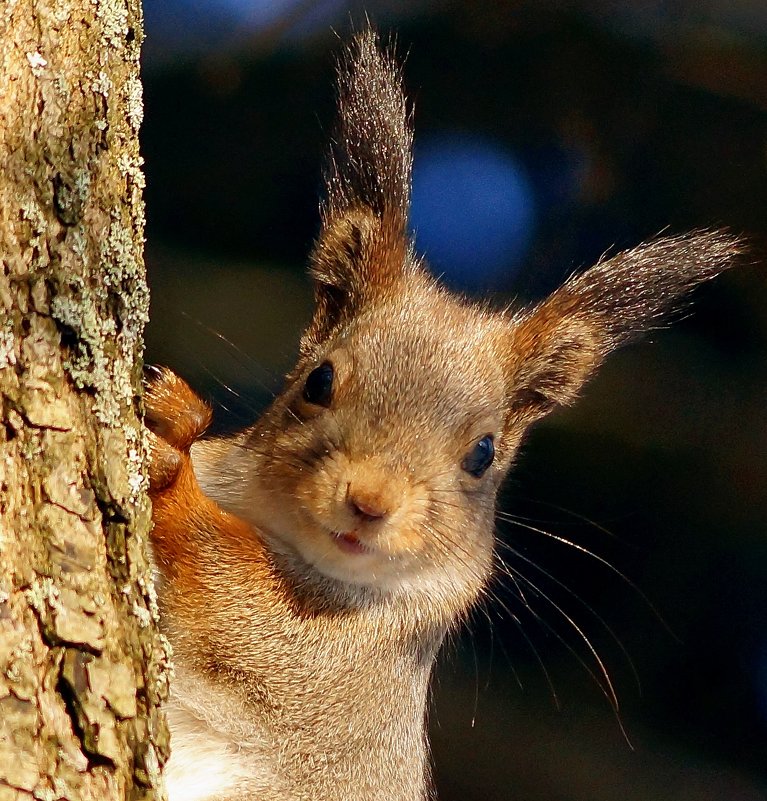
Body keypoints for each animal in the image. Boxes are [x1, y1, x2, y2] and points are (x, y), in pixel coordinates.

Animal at [141, 28, 740, 800]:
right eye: (318, 380)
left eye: (483, 453)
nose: (369, 503)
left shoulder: (338, 662)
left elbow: (235, 597)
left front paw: (171, 462)